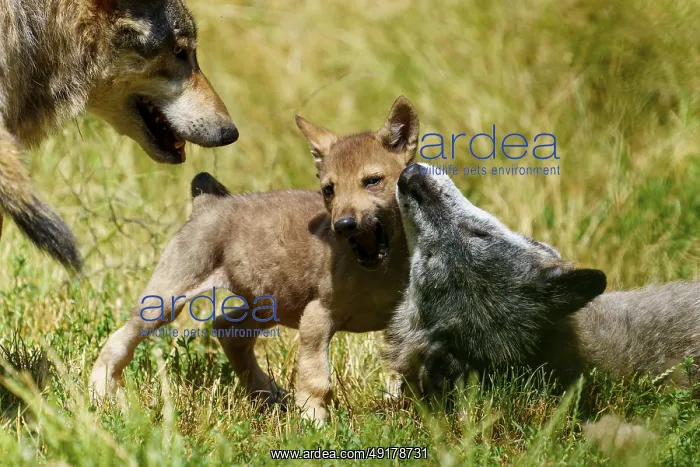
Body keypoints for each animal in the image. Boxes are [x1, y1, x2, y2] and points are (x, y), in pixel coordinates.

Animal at [90, 96, 419, 422]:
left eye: (372, 181)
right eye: (329, 189)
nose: (344, 224)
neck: (379, 271)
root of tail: (208, 204)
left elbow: (406, 372)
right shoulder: (316, 317)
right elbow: (316, 381)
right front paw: (314, 424)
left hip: (268, 304)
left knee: (227, 330)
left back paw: (267, 393)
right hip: (163, 301)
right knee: (120, 340)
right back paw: (99, 390)